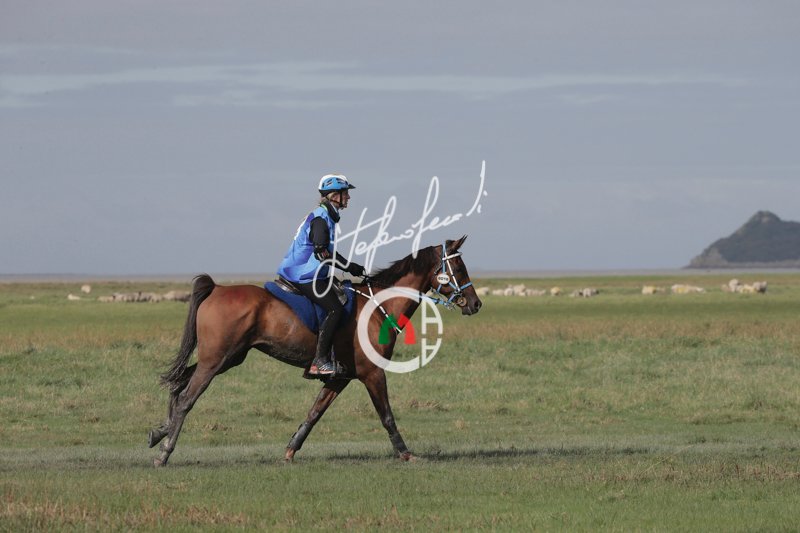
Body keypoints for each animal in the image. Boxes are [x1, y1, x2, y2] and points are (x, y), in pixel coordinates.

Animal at [147, 236, 482, 466]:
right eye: (458, 267)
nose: (476, 304)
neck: (377, 307)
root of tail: (217, 288)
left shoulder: (340, 378)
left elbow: (314, 413)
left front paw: (290, 450)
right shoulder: (373, 375)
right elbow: (386, 415)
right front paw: (405, 453)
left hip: (226, 359)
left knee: (177, 386)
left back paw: (159, 432)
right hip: (216, 361)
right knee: (186, 398)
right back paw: (165, 452)